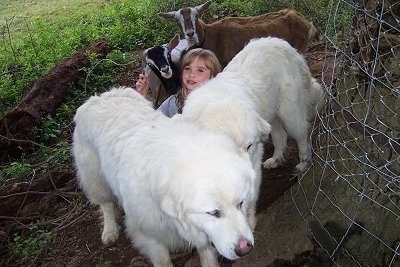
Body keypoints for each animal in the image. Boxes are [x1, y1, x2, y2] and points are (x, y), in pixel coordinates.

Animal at [72, 87, 256, 266]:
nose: (245, 249)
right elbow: (163, 261)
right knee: (106, 204)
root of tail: (101, 96)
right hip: (95, 178)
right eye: (213, 213)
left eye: (240, 203)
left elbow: (208, 256)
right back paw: (110, 231)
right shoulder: (149, 235)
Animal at [159, 0, 318, 67]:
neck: (212, 36)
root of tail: (305, 21)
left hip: (300, 48)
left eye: (197, 16)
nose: (190, 34)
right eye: (177, 21)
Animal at [183, 37, 324, 228]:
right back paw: (276, 159)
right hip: (271, 117)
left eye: (249, 146)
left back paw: (304, 162)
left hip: (289, 114)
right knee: (280, 137)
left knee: (302, 134)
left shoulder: (255, 155)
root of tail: (283, 43)